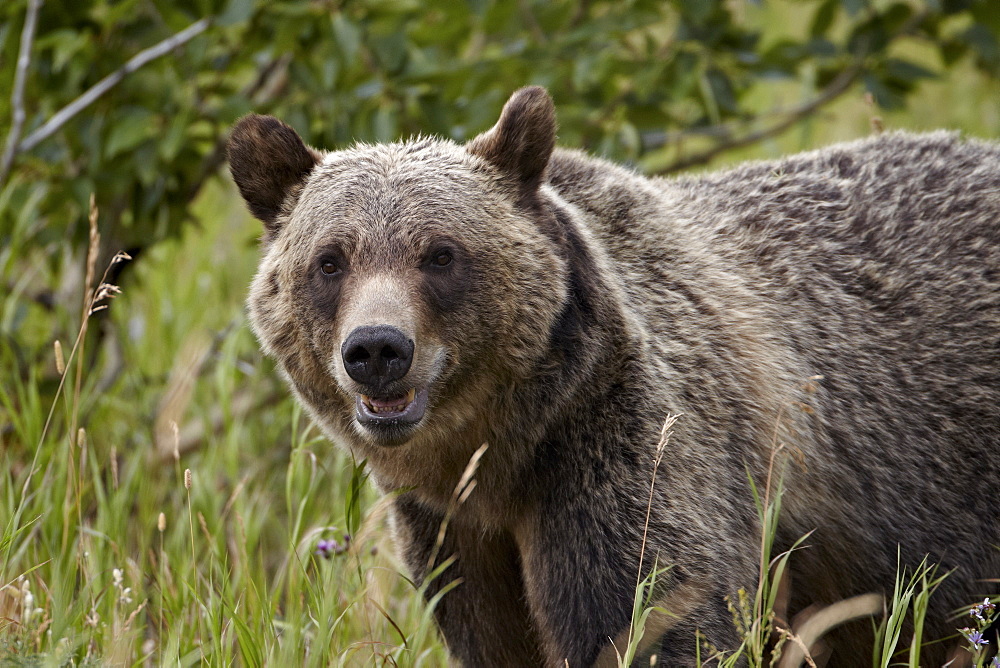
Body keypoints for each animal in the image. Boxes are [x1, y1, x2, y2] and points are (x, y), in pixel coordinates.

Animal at [227, 86, 1000, 664]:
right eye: (330, 260)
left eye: (440, 253)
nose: (378, 349)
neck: (499, 454)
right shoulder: (454, 535)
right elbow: (494, 638)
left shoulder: (623, 455)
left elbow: (652, 619)